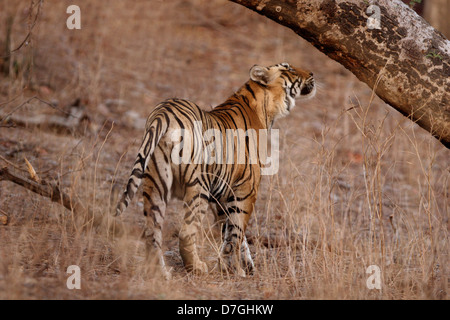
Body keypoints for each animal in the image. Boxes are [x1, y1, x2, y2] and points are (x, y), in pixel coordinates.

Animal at [114, 62, 314, 278]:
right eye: (289, 68)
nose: (312, 73)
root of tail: (164, 113)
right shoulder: (246, 189)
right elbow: (236, 232)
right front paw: (235, 269)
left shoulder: (222, 195)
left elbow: (231, 232)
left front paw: (242, 265)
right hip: (198, 185)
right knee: (186, 231)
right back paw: (196, 267)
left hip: (156, 184)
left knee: (152, 232)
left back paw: (161, 273)